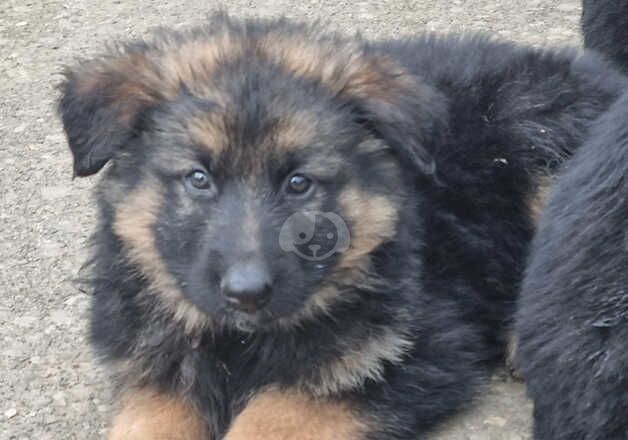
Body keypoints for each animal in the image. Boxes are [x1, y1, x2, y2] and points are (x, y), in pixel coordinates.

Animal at [56, 13, 624, 440]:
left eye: (299, 183)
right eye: (199, 179)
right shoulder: (154, 372)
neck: (238, 342)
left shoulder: (411, 348)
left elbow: (271, 415)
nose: (246, 294)